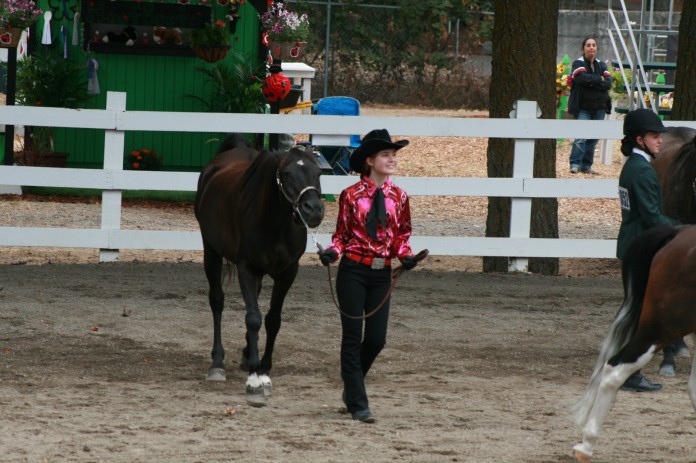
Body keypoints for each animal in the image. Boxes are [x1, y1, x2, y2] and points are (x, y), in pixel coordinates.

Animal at [194, 134, 324, 406]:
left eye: (318, 172)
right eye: (286, 173)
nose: (313, 210)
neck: (275, 224)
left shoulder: (288, 272)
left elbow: (273, 319)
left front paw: (263, 367)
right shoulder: (247, 268)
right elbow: (253, 318)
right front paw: (255, 378)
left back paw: (246, 354)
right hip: (211, 250)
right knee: (217, 300)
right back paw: (217, 362)